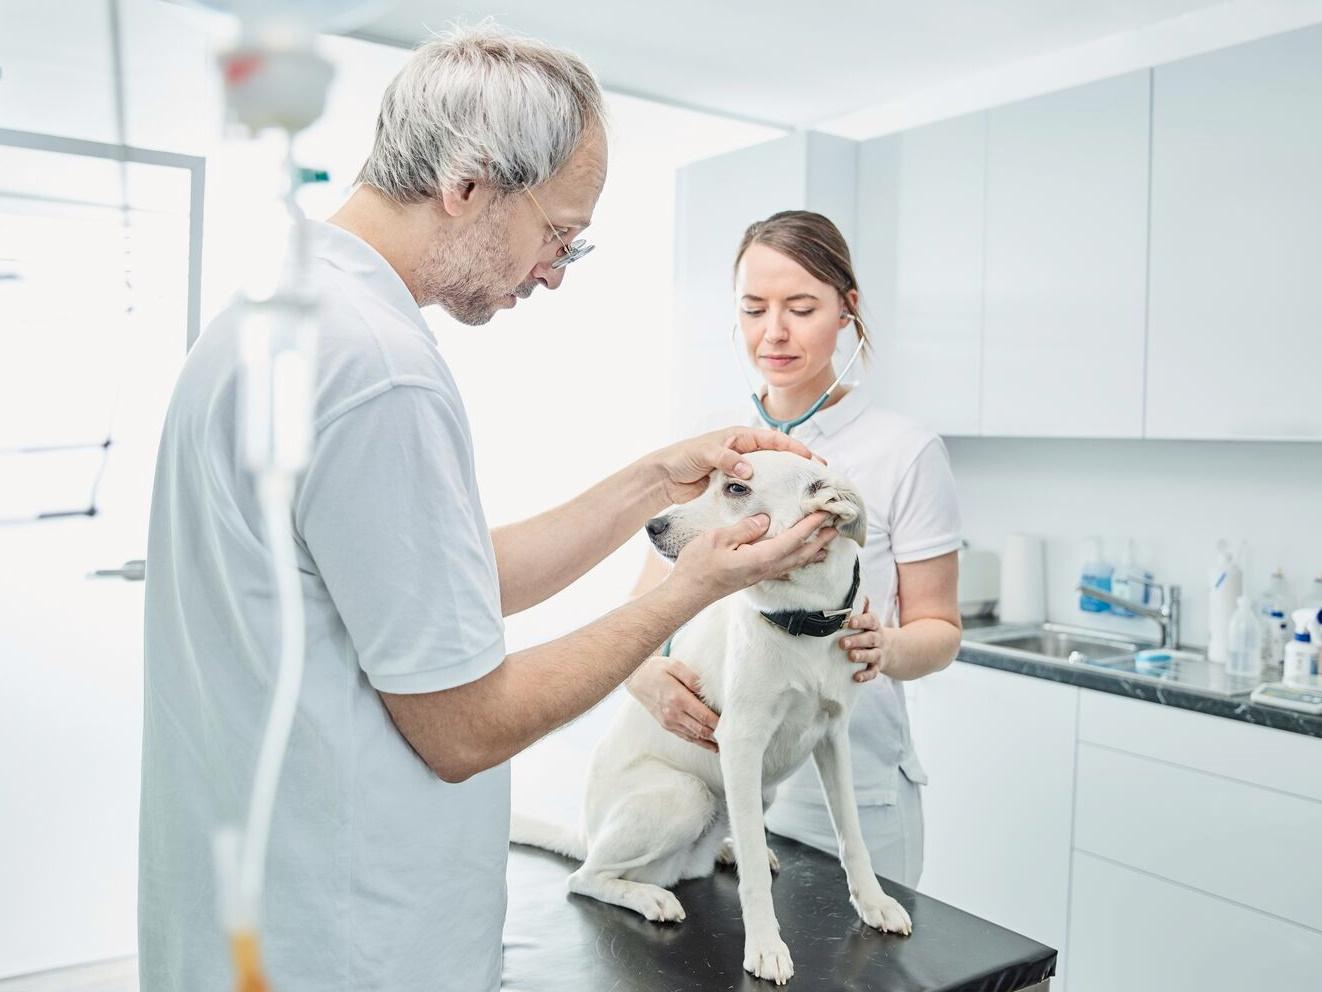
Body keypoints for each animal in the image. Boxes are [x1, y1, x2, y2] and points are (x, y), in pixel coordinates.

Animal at [510, 449, 914, 989]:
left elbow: (852, 834)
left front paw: (874, 903)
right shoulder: (741, 743)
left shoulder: (834, 738)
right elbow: (756, 880)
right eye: (705, 482)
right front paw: (765, 946)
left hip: (760, 790)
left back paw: (727, 850)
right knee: (586, 878)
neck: (802, 622)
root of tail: (588, 833)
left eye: (736, 489)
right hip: (685, 795)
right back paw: (652, 896)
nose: (652, 526)